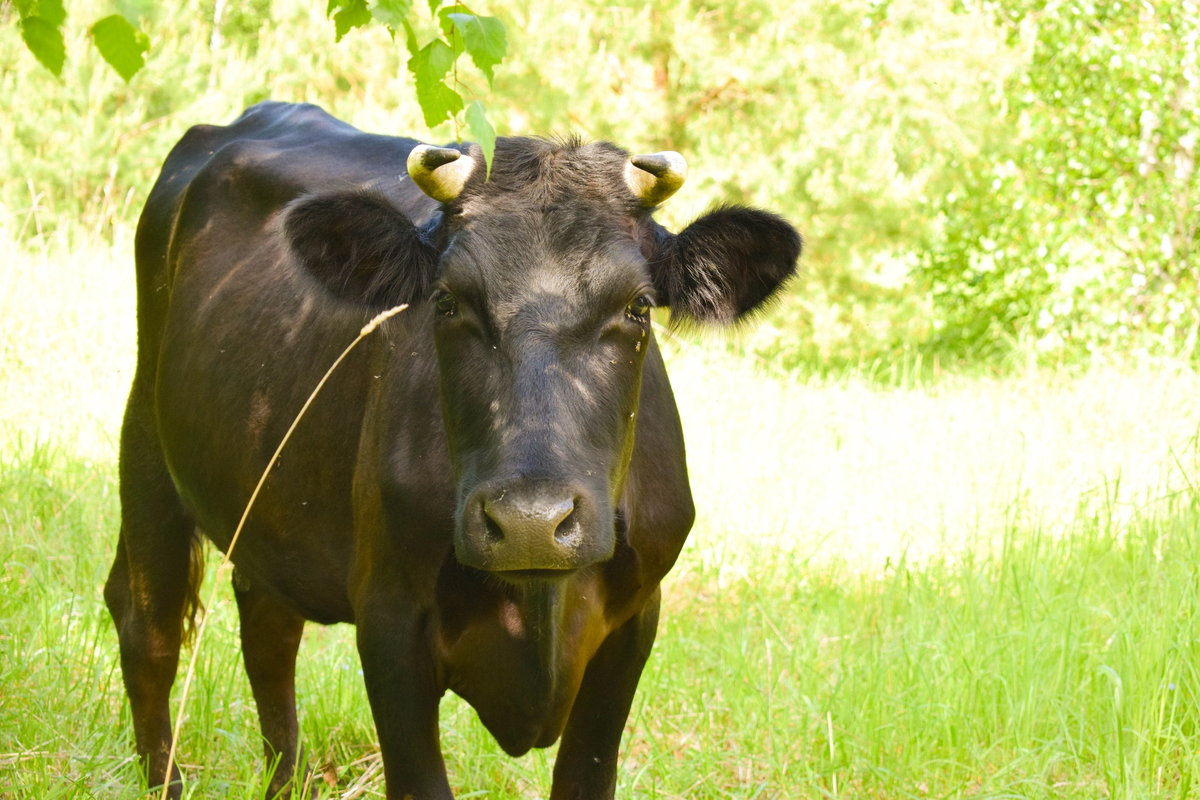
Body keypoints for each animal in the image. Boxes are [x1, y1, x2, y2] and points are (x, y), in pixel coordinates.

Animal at [103, 101, 796, 800]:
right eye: (446, 300)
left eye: (639, 306)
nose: (530, 523)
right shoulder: (389, 620)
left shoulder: (634, 621)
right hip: (145, 442)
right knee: (147, 627)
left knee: (268, 633)